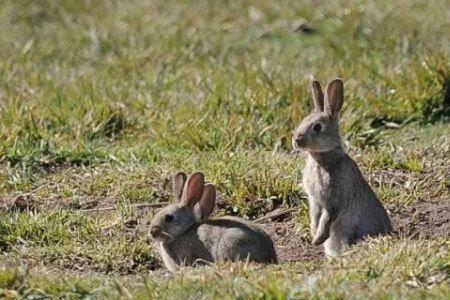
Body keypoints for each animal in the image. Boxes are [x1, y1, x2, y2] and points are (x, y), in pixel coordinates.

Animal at [292, 78, 390, 256]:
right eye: (303, 120)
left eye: (317, 127)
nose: (296, 140)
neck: (321, 158)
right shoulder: (314, 200)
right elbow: (315, 216)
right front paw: (314, 235)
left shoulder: (334, 198)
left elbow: (327, 217)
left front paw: (318, 239)